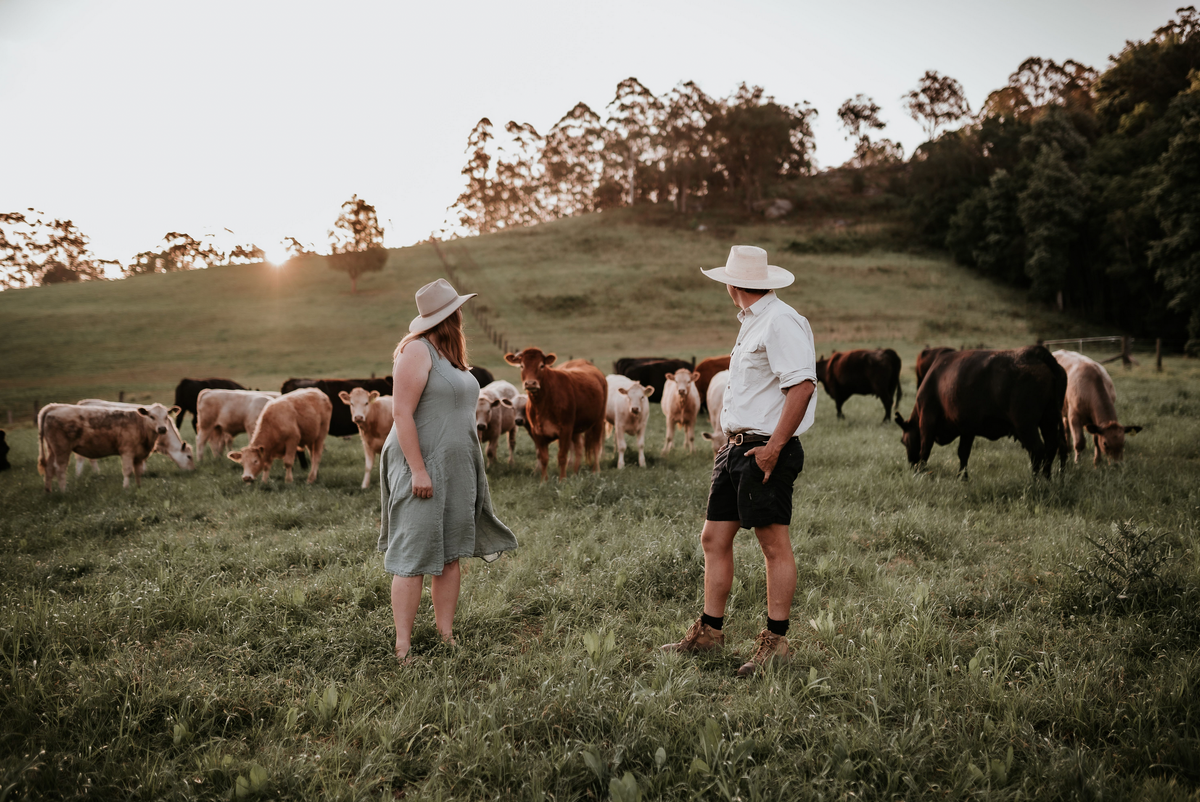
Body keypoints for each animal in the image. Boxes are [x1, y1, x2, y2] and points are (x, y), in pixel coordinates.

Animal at [38, 401, 194, 489]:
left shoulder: (140, 453)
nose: (162, 428)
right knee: (60, 469)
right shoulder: (127, 451)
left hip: (52, 450)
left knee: (49, 469)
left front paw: (139, 487)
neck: (141, 424)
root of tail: (53, 407)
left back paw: (48, 491)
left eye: (166, 416)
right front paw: (126, 488)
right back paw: (64, 490)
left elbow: (138, 471)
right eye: (152, 416)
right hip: (62, 449)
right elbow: (128, 471)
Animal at [504, 345, 604, 482]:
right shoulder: (537, 433)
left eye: (541, 365)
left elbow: (562, 457)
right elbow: (543, 458)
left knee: (596, 446)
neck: (543, 404)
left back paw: (596, 471)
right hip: (576, 429)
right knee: (579, 447)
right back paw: (575, 473)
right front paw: (543, 481)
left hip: (598, 421)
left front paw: (562, 480)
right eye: (522, 366)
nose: (530, 383)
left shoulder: (565, 430)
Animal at [892, 343, 1070, 480]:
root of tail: (1036, 352)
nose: (911, 465)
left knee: (1037, 450)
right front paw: (962, 478)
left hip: (1025, 424)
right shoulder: (967, 427)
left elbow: (925, 449)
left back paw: (1034, 481)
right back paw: (1047, 478)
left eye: (903, 441)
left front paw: (921, 473)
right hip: (1049, 420)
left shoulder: (927, 419)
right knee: (1052, 446)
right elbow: (963, 453)